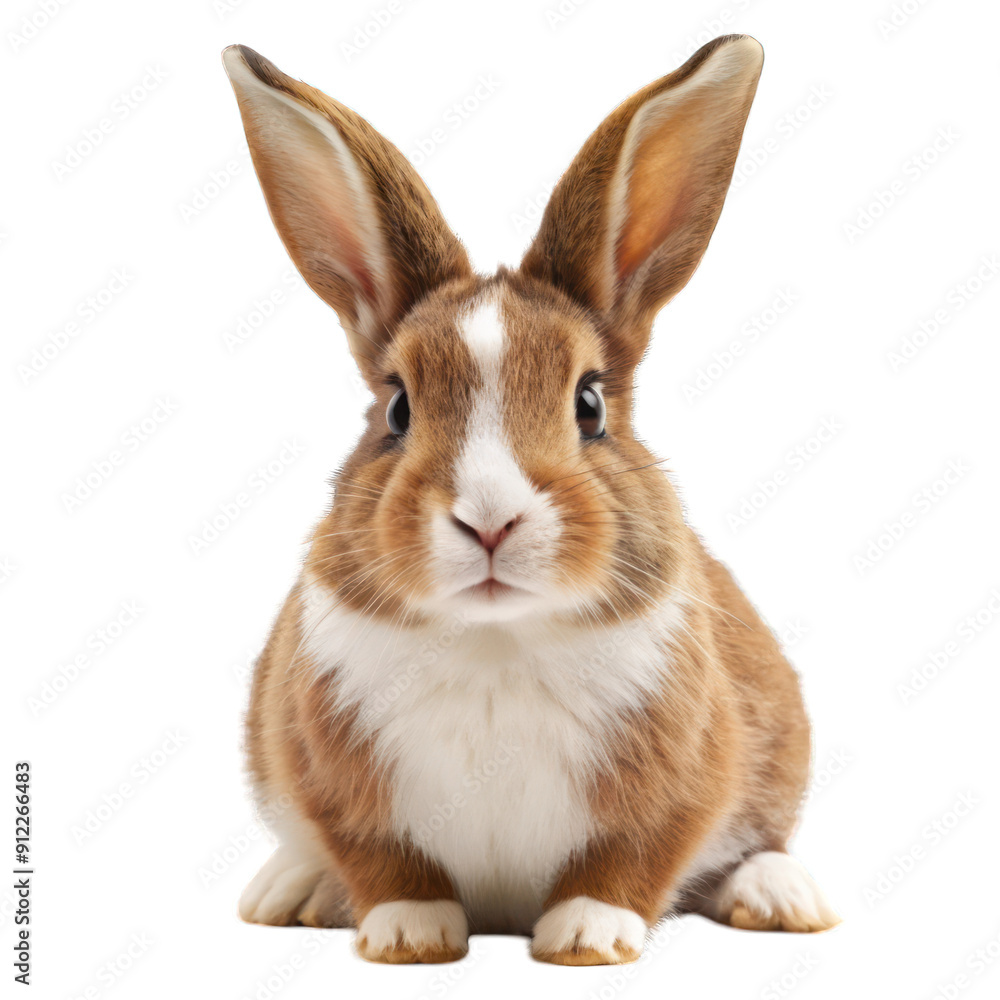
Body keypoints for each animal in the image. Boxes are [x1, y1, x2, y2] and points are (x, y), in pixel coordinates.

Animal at [222, 34, 839, 965]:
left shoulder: (688, 776)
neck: (496, 638)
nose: (488, 519)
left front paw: (588, 935)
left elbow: (635, 857)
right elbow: (382, 860)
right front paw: (408, 934)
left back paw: (783, 896)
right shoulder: (328, 775)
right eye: (397, 409)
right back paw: (288, 889)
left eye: (589, 405)